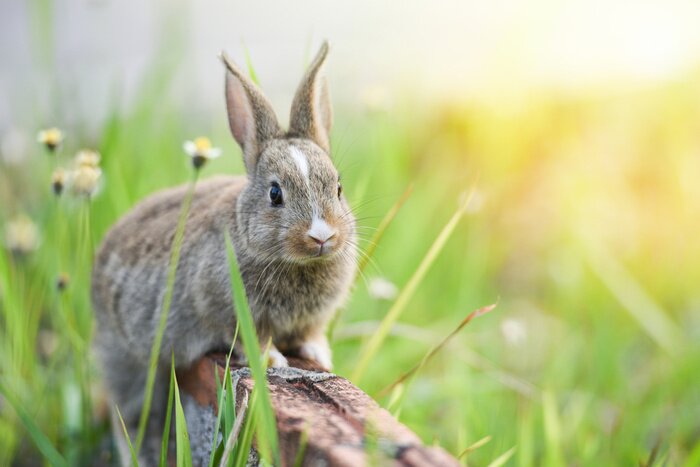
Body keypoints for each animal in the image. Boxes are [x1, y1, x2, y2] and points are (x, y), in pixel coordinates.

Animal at [91, 41, 357, 466]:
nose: (322, 236)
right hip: (129, 362)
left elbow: (310, 335)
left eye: (338, 188)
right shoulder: (232, 313)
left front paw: (320, 354)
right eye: (275, 194)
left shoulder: (311, 319)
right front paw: (273, 361)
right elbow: (254, 341)